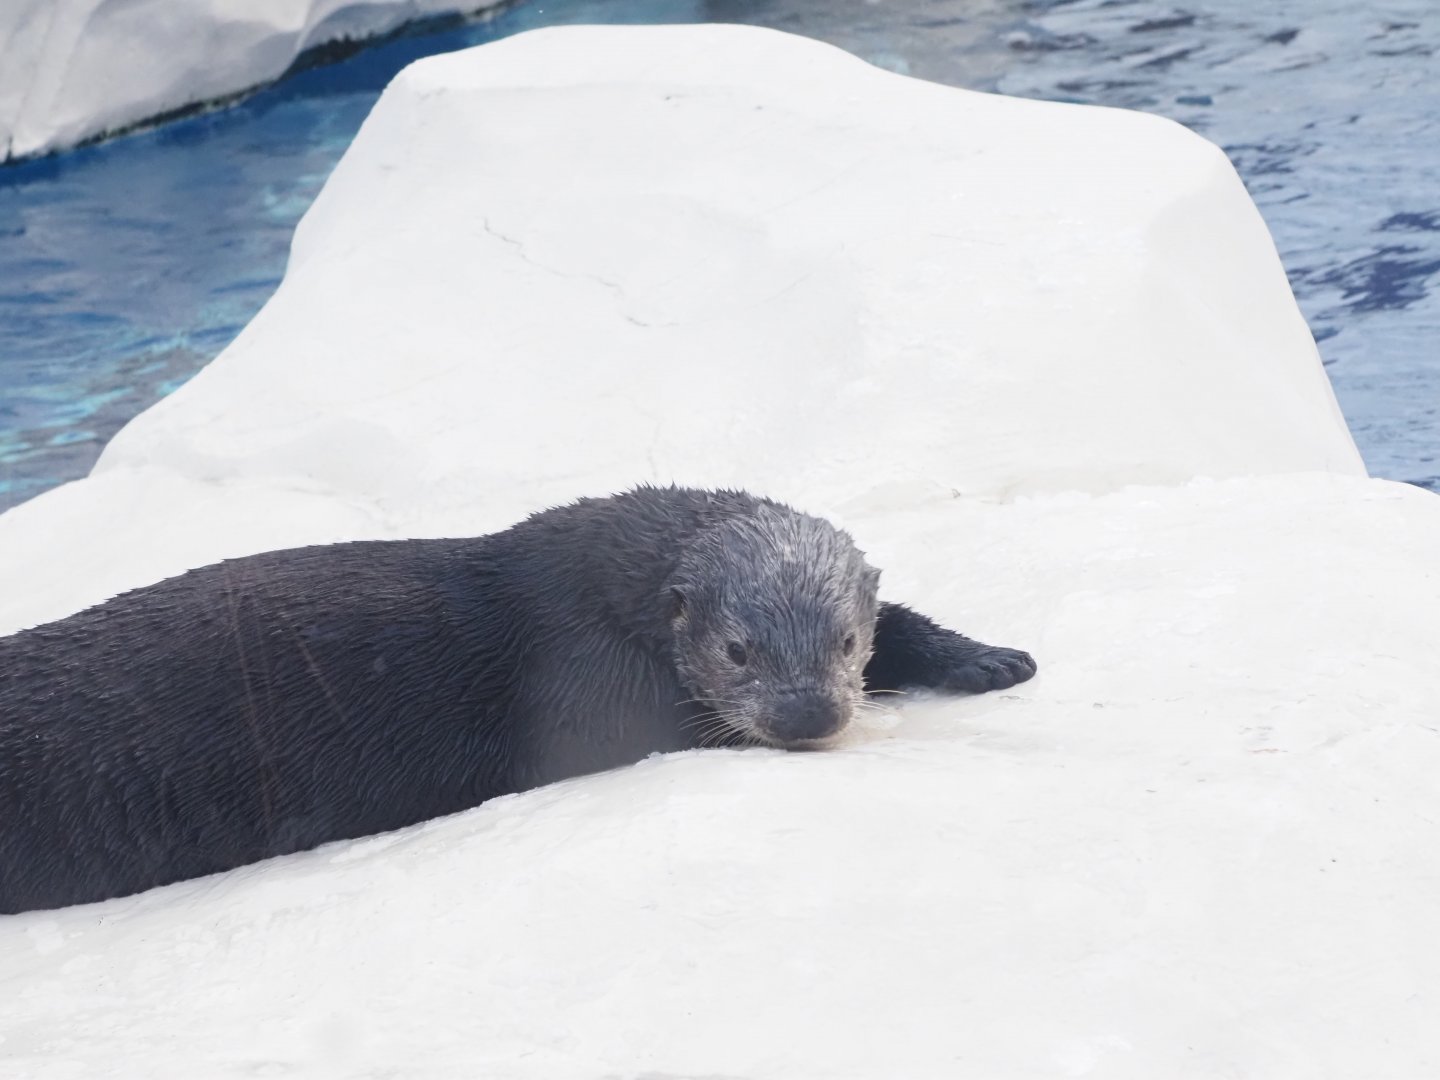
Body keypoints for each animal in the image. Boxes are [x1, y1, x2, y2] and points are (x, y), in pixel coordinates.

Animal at [0, 486, 1035, 913]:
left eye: (844, 643)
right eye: (739, 650)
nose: (807, 716)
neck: (594, 594)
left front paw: (990, 659)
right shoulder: (587, 686)